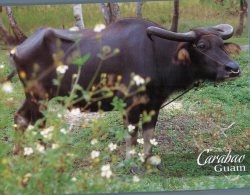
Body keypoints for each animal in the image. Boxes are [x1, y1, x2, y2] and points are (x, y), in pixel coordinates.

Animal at [11, 18, 240, 161]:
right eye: (201, 46)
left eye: (221, 45)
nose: (234, 69)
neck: (157, 55)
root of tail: (18, 49)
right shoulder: (130, 104)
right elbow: (131, 134)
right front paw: (131, 163)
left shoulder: (154, 104)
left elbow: (148, 133)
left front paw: (147, 160)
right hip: (39, 98)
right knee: (38, 124)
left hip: (32, 96)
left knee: (20, 118)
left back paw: (19, 154)